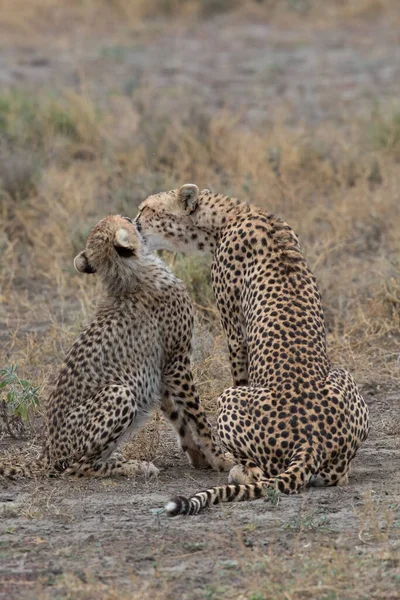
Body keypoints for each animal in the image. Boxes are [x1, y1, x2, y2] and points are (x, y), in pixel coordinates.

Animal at [0, 214, 231, 478]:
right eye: (124, 221)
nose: (133, 218)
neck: (132, 273)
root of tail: (47, 454)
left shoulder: (161, 369)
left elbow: (179, 417)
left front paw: (200, 457)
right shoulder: (177, 360)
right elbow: (197, 416)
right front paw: (221, 459)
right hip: (119, 392)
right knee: (78, 468)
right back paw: (134, 466)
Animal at [135, 184, 372, 516]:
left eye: (146, 209)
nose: (133, 223)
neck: (230, 215)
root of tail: (310, 442)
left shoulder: (235, 333)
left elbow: (239, 373)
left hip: (228, 399)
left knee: (262, 472)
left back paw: (239, 470)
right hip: (343, 378)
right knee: (339, 476)